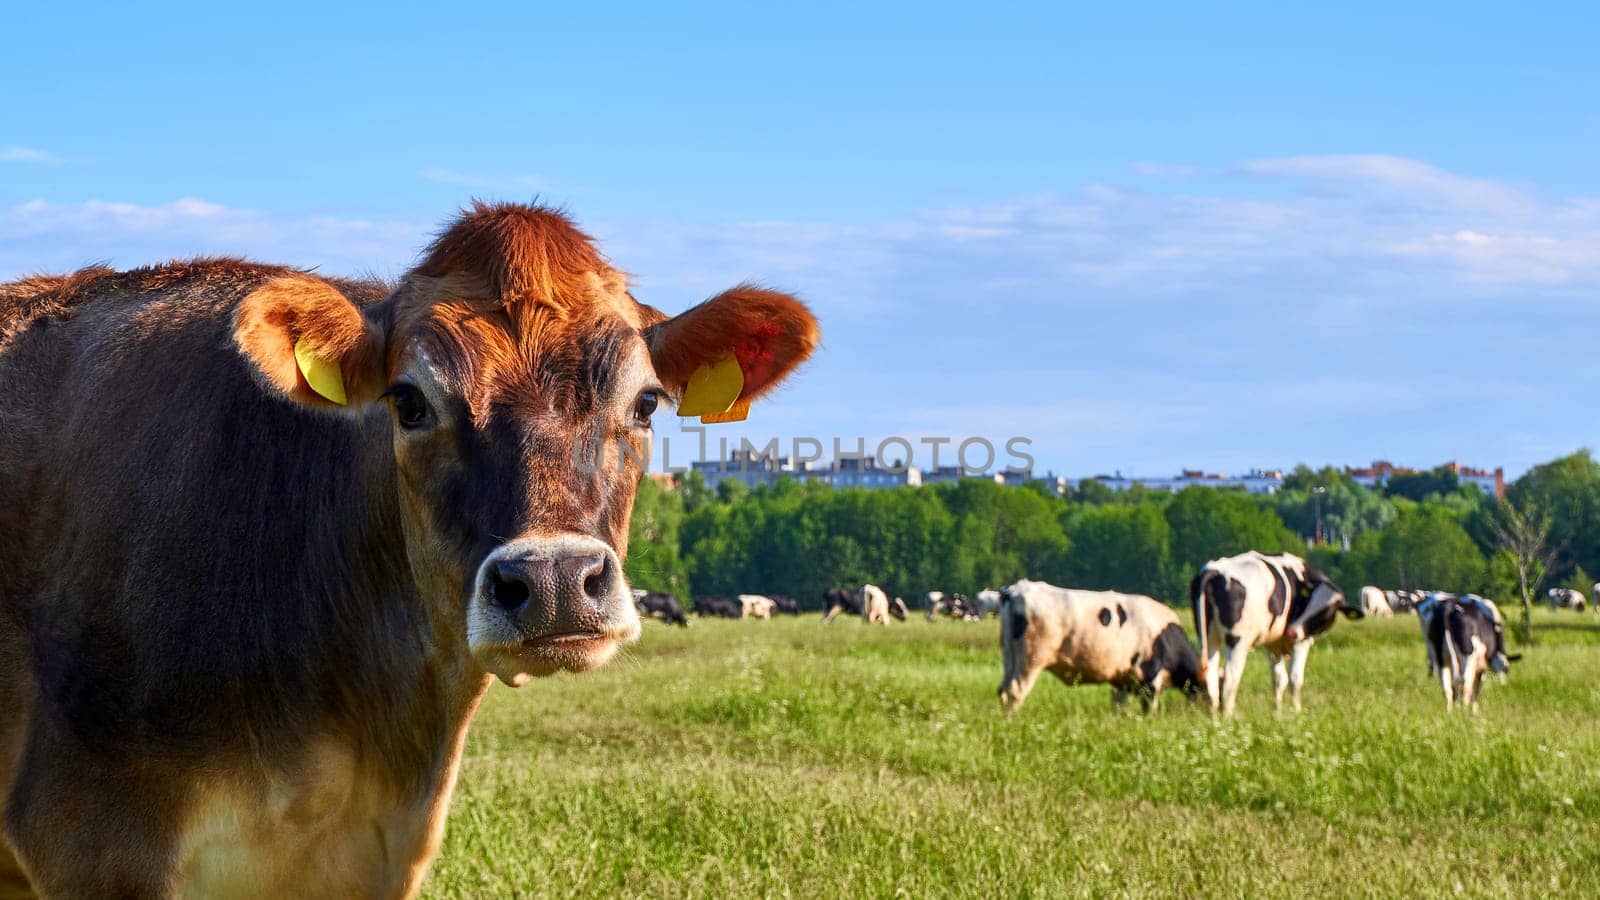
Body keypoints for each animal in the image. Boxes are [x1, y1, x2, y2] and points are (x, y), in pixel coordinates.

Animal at [998, 576, 1203, 711]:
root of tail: (1017, 590)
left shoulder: (1121, 680)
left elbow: (1119, 706)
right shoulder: (1149, 674)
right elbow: (1149, 706)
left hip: (1010, 658)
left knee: (1003, 690)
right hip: (1031, 658)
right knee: (1015, 691)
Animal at [1190, 547, 1363, 714]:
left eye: (1326, 612)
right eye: (1307, 602)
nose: (1292, 632)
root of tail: (1214, 570)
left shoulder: (1273, 644)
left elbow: (1279, 679)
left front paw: (1278, 712)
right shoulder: (1301, 641)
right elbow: (1295, 679)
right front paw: (1297, 712)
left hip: (1208, 638)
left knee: (1211, 678)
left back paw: (1215, 718)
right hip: (1237, 641)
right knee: (1230, 680)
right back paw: (1229, 718)